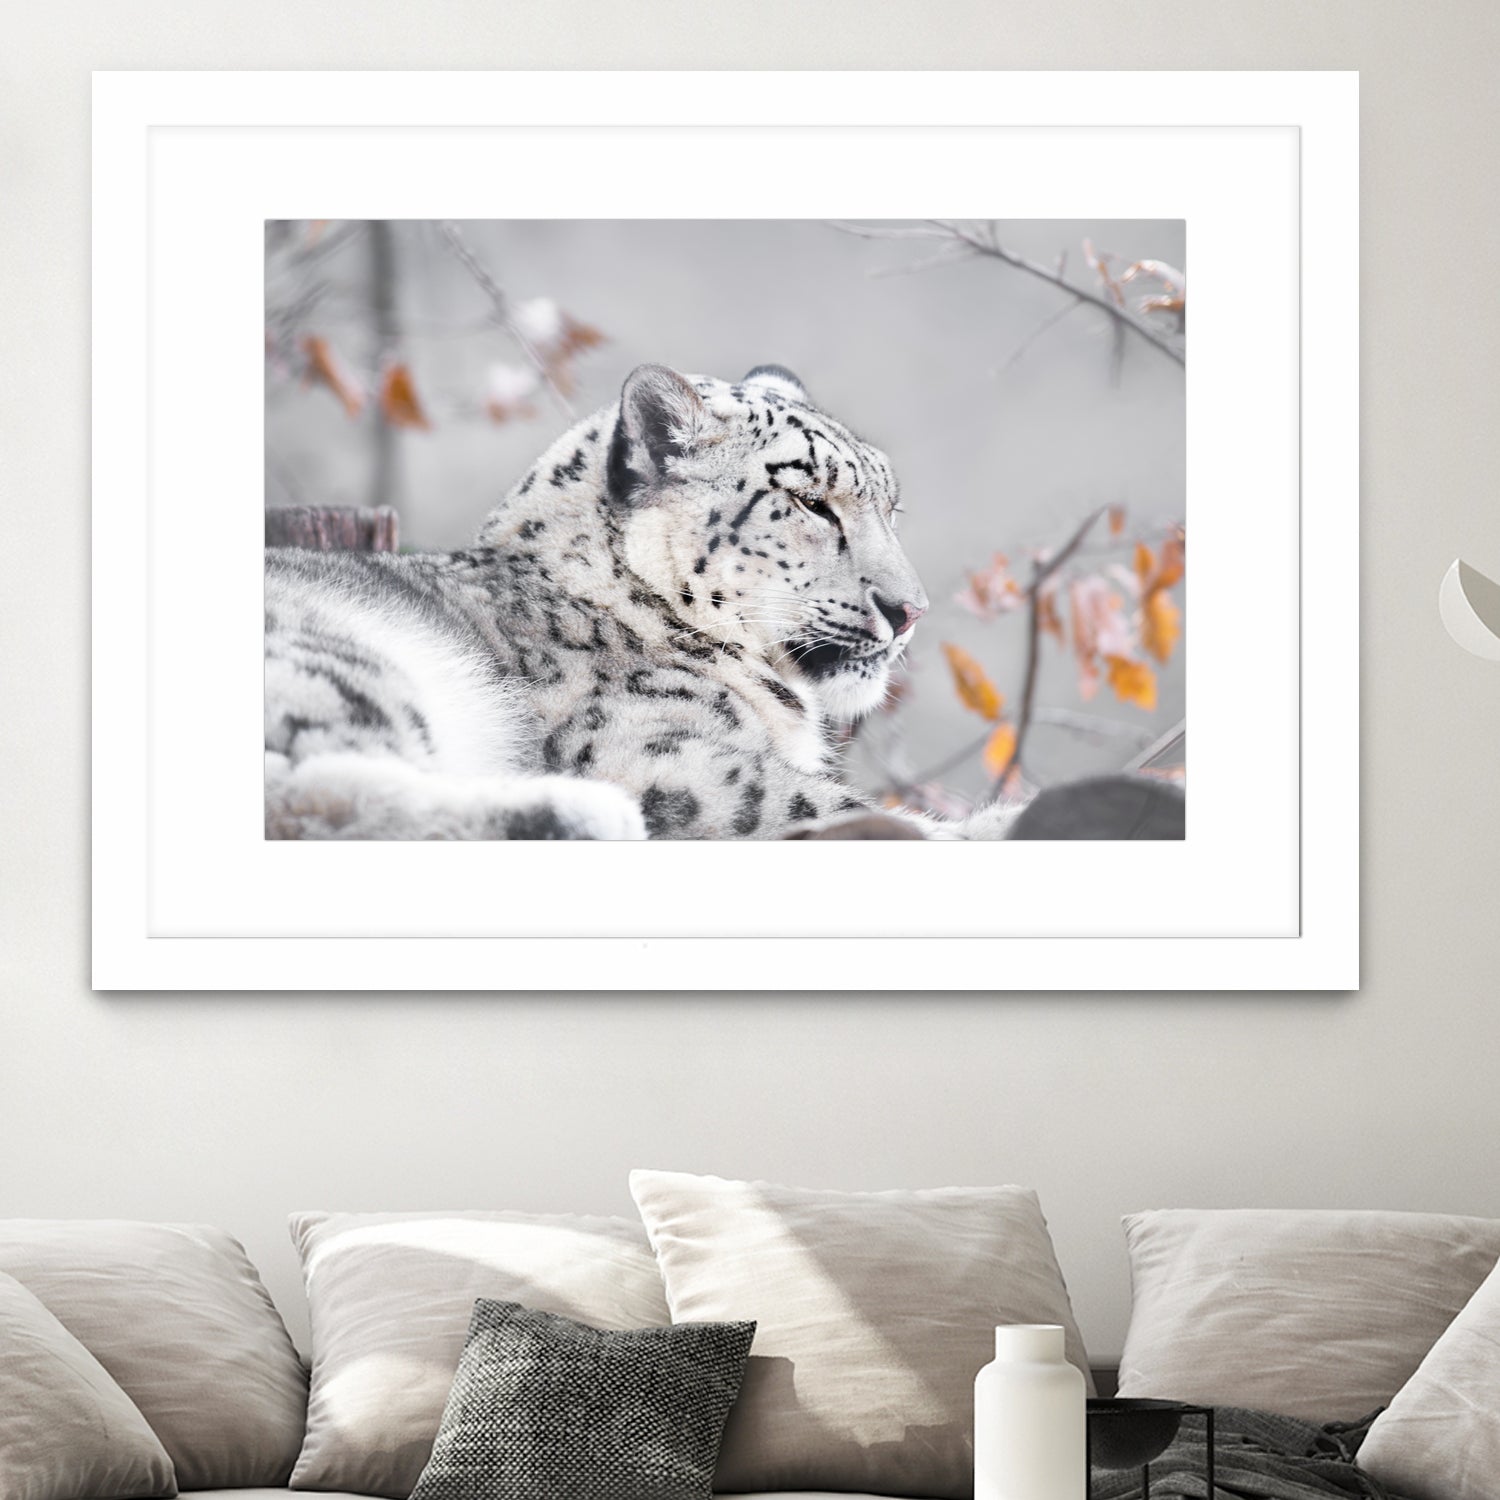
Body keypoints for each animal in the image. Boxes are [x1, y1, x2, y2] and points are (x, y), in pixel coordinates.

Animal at [264, 362, 1015, 840]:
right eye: (809, 500)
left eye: (891, 507)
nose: (908, 609)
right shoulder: (670, 759)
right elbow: (828, 805)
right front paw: (993, 823)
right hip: (340, 659)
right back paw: (582, 814)